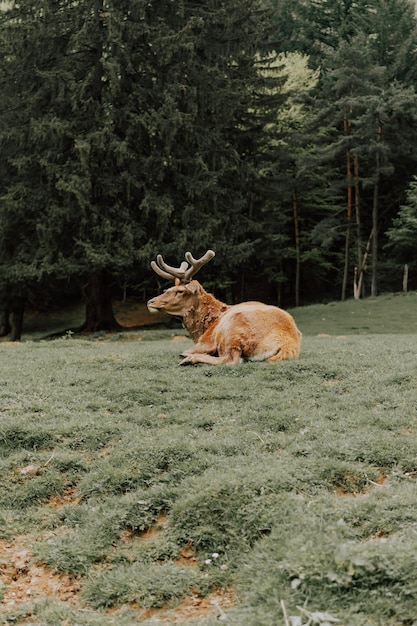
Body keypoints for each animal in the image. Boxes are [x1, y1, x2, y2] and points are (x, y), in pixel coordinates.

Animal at [148, 250, 300, 366]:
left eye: (180, 291)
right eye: (168, 289)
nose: (150, 301)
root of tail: (288, 343)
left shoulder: (206, 340)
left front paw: (186, 354)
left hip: (230, 330)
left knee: (232, 359)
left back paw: (189, 359)